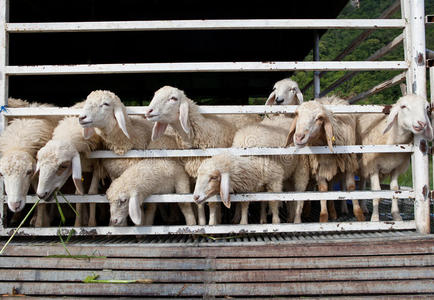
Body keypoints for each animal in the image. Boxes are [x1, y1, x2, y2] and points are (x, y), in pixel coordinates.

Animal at [144, 85, 236, 226]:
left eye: (173, 98)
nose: (149, 111)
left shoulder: (212, 173)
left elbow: (212, 202)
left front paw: (212, 224)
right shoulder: (195, 177)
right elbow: (199, 203)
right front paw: (202, 223)